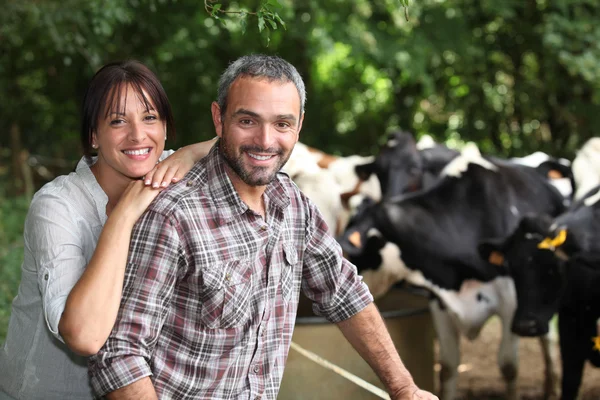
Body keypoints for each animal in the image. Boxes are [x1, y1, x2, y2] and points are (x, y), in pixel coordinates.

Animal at [340, 149, 564, 400]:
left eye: (354, 247)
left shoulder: (511, 304)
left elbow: (509, 367)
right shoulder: (439, 299)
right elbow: (447, 367)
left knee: (547, 337)